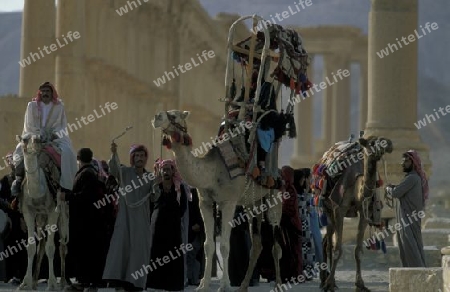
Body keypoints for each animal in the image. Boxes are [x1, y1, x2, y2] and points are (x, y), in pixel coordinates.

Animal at [16, 136, 69, 290]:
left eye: (38, 139)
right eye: (24, 139)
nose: (36, 144)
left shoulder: (52, 211)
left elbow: (51, 248)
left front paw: (51, 284)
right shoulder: (28, 212)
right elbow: (31, 246)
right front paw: (25, 283)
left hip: (63, 212)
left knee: (62, 245)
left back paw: (63, 283)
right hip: (40, 218)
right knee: (42, 243)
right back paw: (34, 282)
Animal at [153, 110, 284, 292]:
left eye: (175, 115)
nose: (157, 117)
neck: (212, 173)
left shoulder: (228, 202)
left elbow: (224, 246)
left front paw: (224, 285)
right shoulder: (205, 203)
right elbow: (208, 245)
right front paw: (203, 285)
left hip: (274, 196)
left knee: (276, 242)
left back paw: (278, 284)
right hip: (252, 204)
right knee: (257, 243)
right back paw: (243, 286)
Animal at [318, 136, 392, 290]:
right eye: (372, 143)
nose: (388, 144)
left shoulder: (364, 213)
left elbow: (358, 250)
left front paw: (360, 284)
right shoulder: (339, 209)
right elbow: (338, 249)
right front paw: (329, 283)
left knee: (326, 241)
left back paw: (327, 279)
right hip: (328, 210)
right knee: (328, 244)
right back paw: (326, 281)